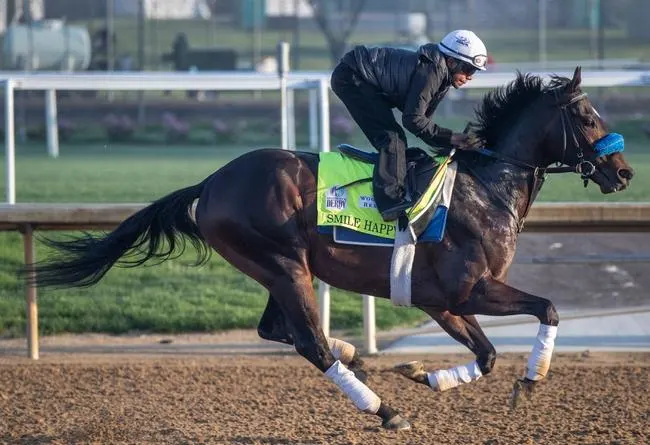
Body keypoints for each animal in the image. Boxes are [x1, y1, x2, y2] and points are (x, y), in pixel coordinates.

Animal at [31, 67, 632, 432]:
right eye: (586, 116)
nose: (624, 172)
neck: (485, 187)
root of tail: (211, 182)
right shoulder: (469, 289)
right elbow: (547, 308)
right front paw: (530, 380)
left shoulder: (440, 301)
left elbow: (485, 355)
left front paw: (423, 373)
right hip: (281, 264)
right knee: (308, 344)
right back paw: (384, 409)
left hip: (278, 270)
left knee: (282, 332)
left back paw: (355, 355)